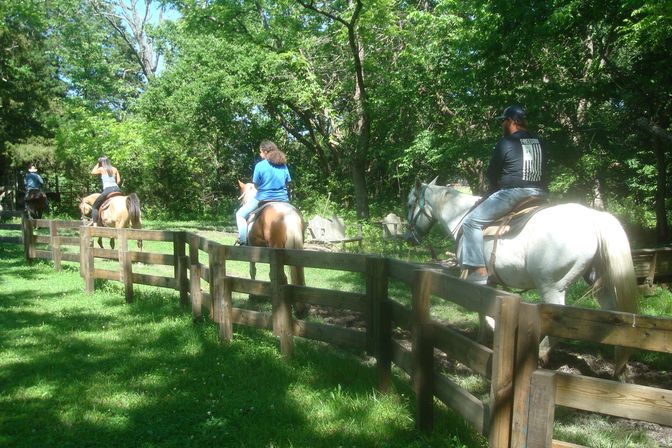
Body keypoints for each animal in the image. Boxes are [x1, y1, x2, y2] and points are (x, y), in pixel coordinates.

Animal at [404, 178, 640, 378]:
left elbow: (484, 312)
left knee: (558, 327)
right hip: (601, 287)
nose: (409, 237)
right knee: (616, 322)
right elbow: (482, 309)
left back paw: (541, 355)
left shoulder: (476, 279)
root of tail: (592, 218)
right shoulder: (489, 282)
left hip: (552, 288)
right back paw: (620, 370)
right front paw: (482, 339)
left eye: (409, 204)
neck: (461, 217)